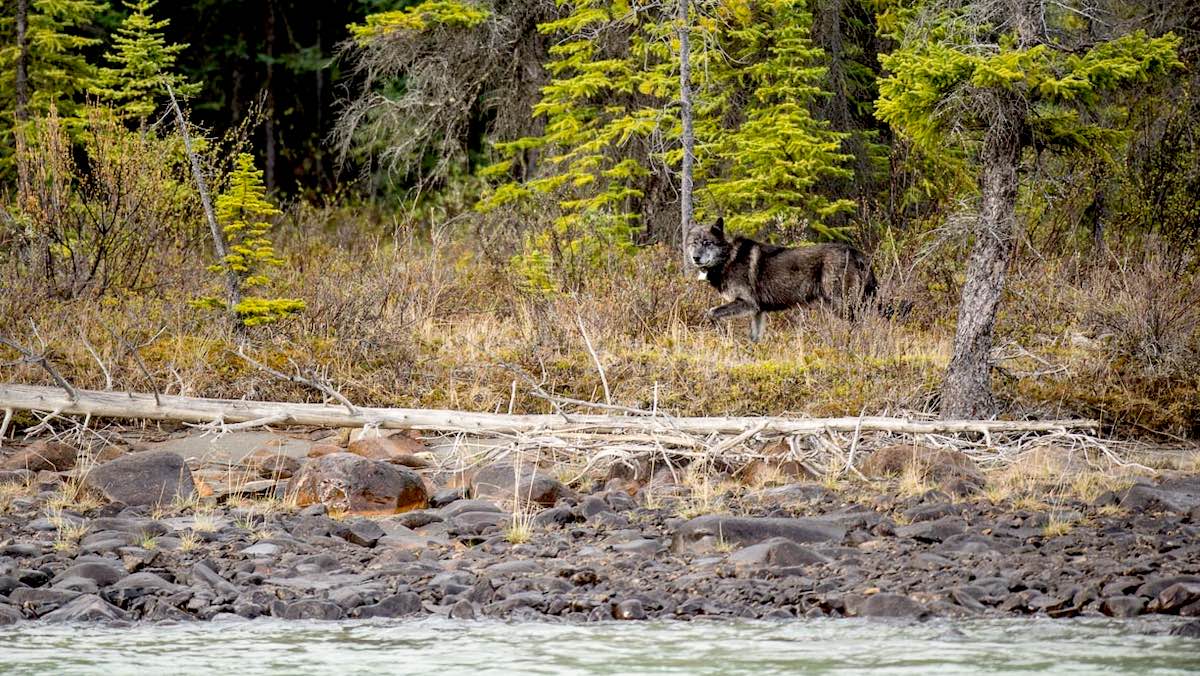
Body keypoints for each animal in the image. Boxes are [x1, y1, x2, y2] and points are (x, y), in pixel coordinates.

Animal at [687, 218, 878, 341]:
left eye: (707, 243)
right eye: (694, 243)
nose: (695, 258)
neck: (728, 258)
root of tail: (854, 251)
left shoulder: (747, 303)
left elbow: (711, 312)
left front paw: (723, 334)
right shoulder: (758, 311)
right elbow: (754, 338)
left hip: (843, 306)